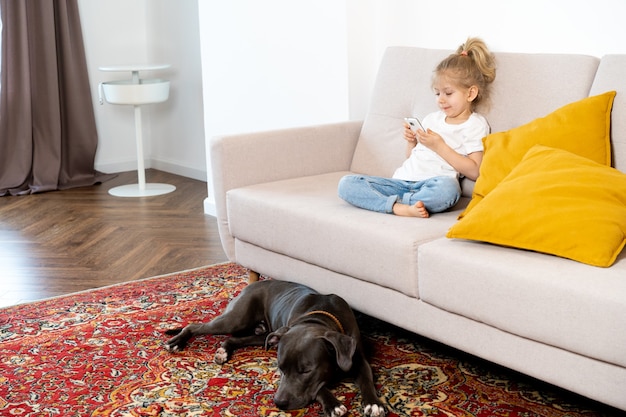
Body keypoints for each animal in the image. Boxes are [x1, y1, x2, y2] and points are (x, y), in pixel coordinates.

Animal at [163, 278, 382, 414]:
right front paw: (333, 404)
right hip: (236, 320)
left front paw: (373, 403)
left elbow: (366, 379)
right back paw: (176, 342)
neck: (320, 317)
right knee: (195, 326)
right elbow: (318, 388)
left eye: (306, 371)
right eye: (280, 368)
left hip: (265, 336)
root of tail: (251, 285)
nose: (279, 402)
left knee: (234, 339)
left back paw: (223, 351)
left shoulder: (358, 358)